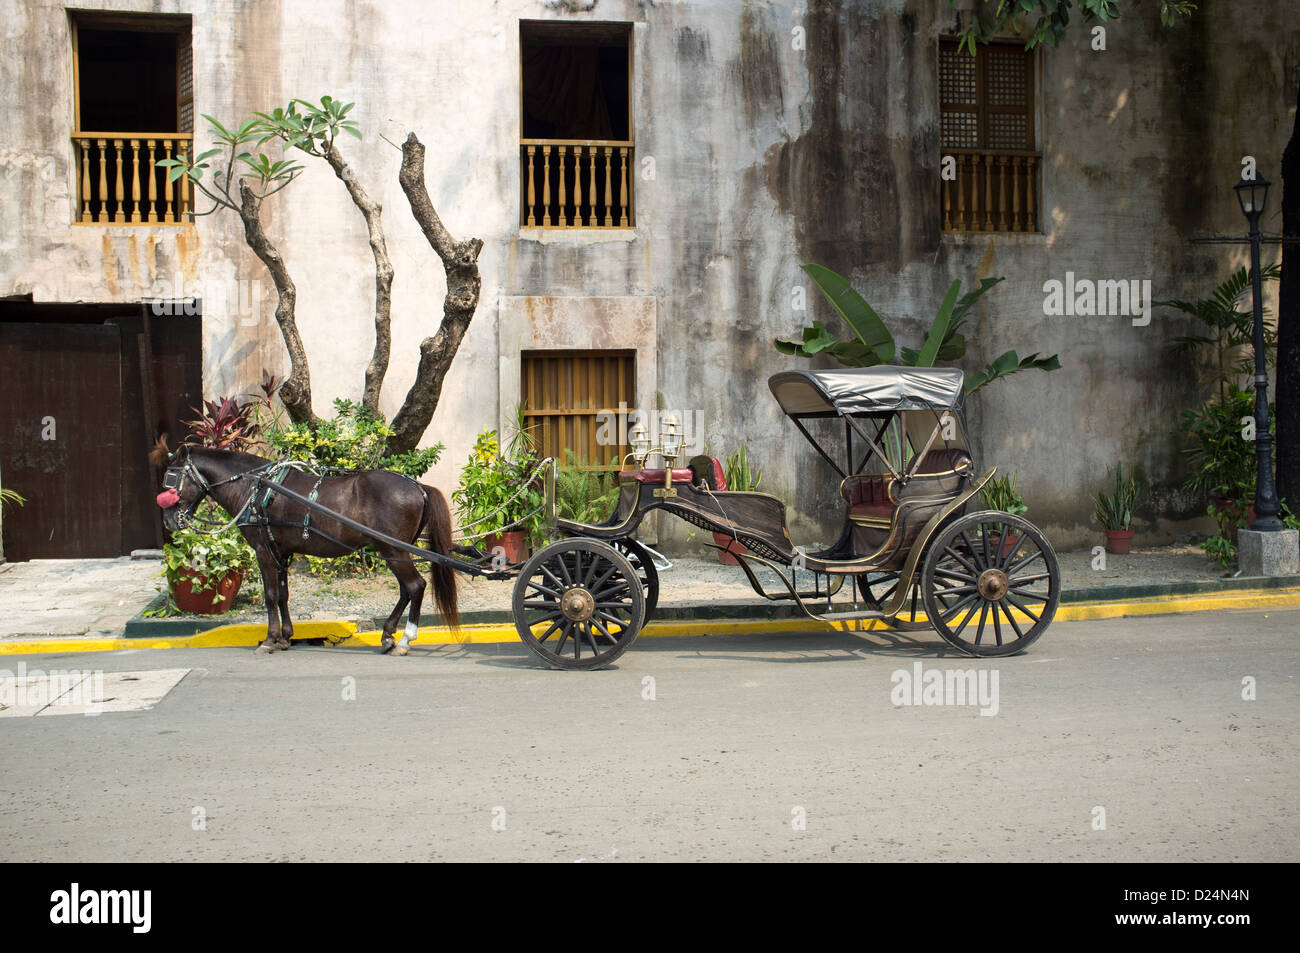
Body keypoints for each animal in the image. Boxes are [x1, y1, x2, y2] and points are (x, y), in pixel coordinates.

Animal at [155, 447, 460, 655]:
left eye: (171, 477)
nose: (169, 521)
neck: (256, 488)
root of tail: (419, 486)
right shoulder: (280, 552)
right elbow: (282, 595)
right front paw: (285, 637)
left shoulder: (263, 552)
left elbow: (270, 596)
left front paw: (269, 639)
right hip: (392, 551)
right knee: (407, 589)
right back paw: (388, 636)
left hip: (392, 548)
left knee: (415, 586)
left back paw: (405, 638)